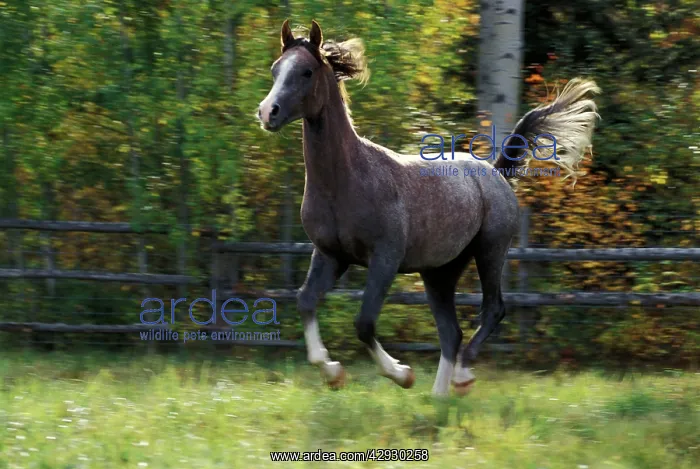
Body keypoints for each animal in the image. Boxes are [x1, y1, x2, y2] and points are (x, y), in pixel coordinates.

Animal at [258, 20, 600, 396]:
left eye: (305, 71)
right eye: (275, 69)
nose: (267, 112)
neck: (345, 180)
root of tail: (495, 171)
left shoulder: (385, 259)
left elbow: (364, 323)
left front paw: (401, 374)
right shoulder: (331, 255)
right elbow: (305, 301)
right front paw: (332, 372)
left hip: (490, 251)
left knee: (492, 310)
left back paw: (462, 377)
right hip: (439, 272)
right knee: (451, 331)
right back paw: (438, 398)